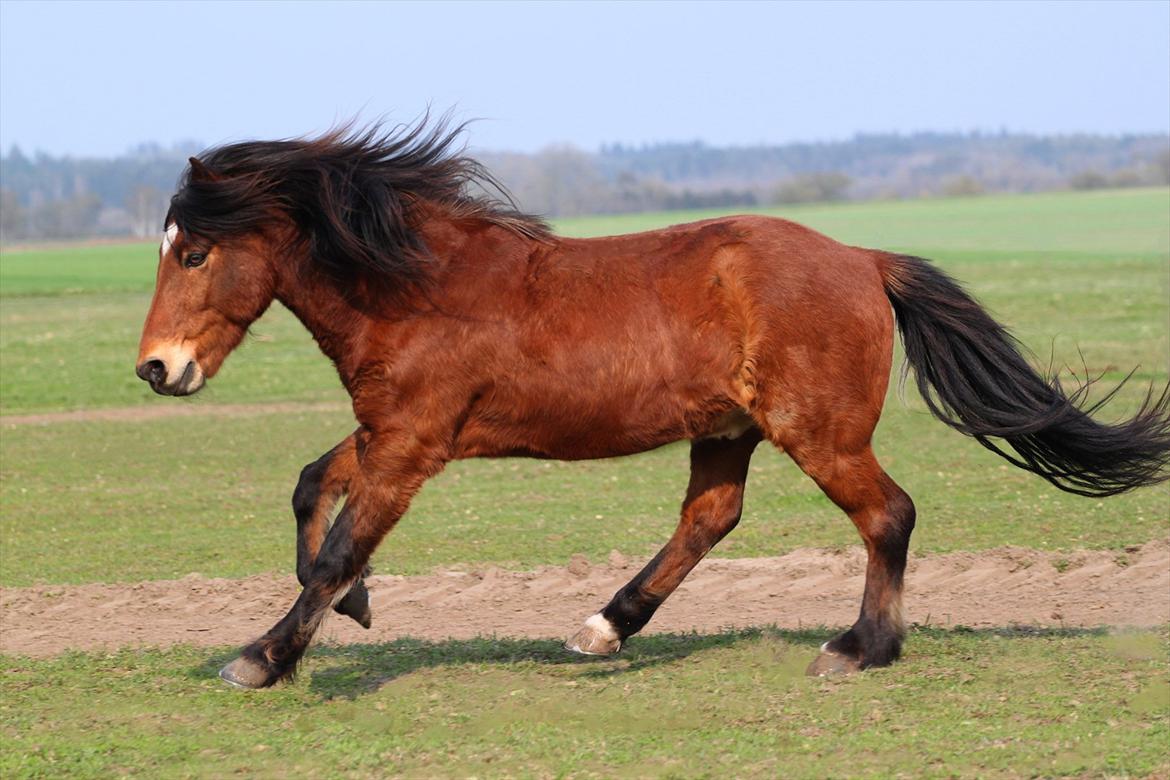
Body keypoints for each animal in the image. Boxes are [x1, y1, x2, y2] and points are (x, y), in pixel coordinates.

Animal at [136, 117, 1170, 687]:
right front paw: (353, 611)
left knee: (889, 513)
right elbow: (312, 488)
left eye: (194, 252)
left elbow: (339, 544)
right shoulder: (389, 430)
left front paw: (264, 657)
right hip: (729, 431)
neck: (419, 287)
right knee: (711, 517)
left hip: (817, 432)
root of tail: (862, 259)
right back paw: (603, 627)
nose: (155, 368)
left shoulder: (412, 444)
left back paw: (859, 649)